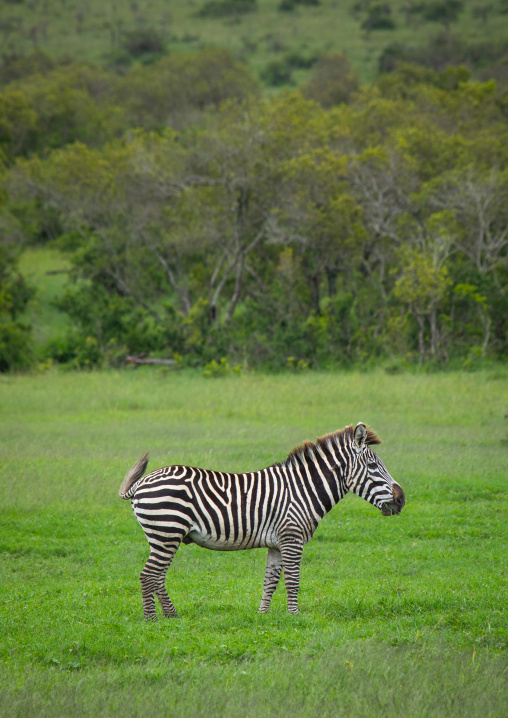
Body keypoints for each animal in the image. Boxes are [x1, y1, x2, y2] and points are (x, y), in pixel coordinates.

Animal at [119, 422, 405, 620]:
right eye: (372, 466)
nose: (401, 500)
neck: (303, 489)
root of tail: (141, 483)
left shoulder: (277, 543)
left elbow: (271, 581)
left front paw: (263, 615)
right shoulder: (292, 538)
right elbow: (293, 580)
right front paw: (294, 616)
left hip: (164, 535)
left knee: (157, 576)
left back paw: (172, 616)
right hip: (167, 531)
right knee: (148, 575)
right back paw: (152, 620)